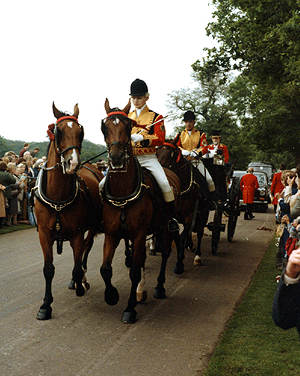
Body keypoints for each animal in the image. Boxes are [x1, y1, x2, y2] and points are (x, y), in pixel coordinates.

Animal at [34, 103, 103, 320]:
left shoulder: (77, 233)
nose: (72, 163)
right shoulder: (44, 234)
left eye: (81, 131)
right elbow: (48, 269)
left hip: (92, 226)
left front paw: (80, 283)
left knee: (86, 250)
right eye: (59, 131)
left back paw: (80, 280)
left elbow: (77, 262)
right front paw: (46, 305)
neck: (57, 197)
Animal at [99, 98, 179, 322]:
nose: (117, 158)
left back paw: (159, 287)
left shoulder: (139, 234)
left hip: (164, 228)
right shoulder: (112, 233)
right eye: (104, 127)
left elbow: (134, 271)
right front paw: (111, 295)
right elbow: (105, 268)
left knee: (166, 252)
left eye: (128, 126)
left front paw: (130, 309)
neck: (123, 192)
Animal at [156, 140, 210, 268]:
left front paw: (180, 262)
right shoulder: (172, 217)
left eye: (171, 155)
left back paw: (197, 256)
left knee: (199, 232)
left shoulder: (189, 216)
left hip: (203, 213)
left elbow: (182, 236)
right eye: (157, 152)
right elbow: (177, 236)